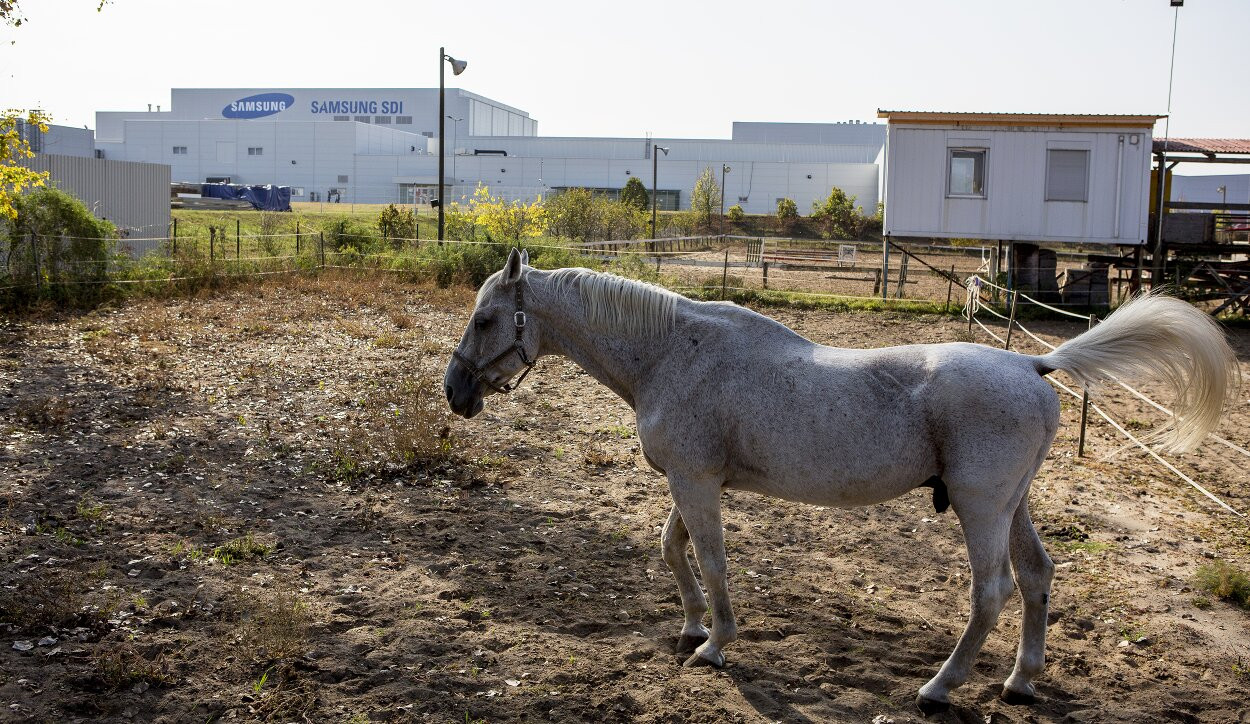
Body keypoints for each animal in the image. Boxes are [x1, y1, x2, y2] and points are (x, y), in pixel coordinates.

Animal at [445, 248, 1235, 715]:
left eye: (485, 319)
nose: (454, 393)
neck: (673, 352)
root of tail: (1032, 365)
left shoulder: (697, 484)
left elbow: (711, 560)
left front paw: (714, 643)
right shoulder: (694, 483)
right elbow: (674, 551)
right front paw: (693, 624)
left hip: (980, 509)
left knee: (993, 592)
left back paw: (939, 688)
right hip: (1013, 506)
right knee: (1038, 576)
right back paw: (1020, 681)